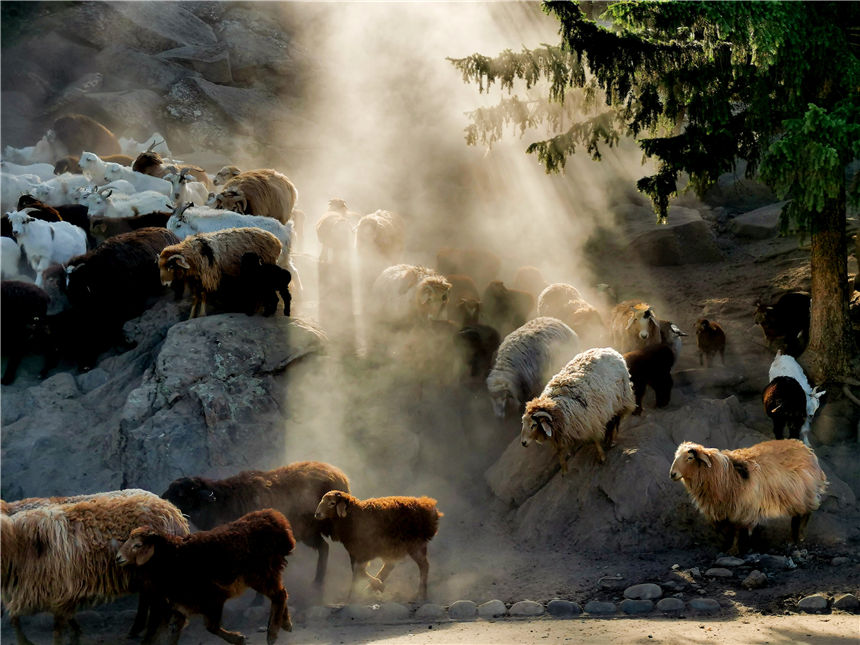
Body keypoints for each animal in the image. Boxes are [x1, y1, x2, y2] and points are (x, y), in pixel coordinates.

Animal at [0, 488, 188, 644]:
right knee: (149, 603)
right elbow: (18, 619)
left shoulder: (55, 589)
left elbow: (55, 626)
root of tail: (172, 511)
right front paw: (76, 632)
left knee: (160, 611)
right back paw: (136, 630)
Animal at [116, 508, 296, 644]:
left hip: (261, 575)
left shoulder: (212, 599)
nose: (118, 558)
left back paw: (272, 634)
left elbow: (212, 627)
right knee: (281, 593)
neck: (174, 557)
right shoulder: (178, 610)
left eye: (138, 545)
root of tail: (275, 520)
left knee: (279, 595)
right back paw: (286, 623)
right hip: (266, 574)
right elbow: (167, 637)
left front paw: (238, 639)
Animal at [161, 460, 350, 592]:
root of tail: (339, 474)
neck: (222, 502)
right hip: (308, 531)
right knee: (324, 547)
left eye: (182, 493)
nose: (162, 499)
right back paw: (319, 583)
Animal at [312, 490, 444, 600]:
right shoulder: (355, 552)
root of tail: (427, 506)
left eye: (332, 503)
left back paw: (421, 594)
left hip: (415, 545)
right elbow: (356, 571)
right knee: (391, 566)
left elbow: (359, 570)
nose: (317, 514)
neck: (354, 516)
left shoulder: (365, 551)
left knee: (424, 566)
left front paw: (372, 588)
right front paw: (353, 595)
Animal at [668, 440, 828, 556]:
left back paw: (799, 538)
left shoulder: (742, 507)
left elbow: (737, 529)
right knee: (796, 516)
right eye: (676, 457)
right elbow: (730, 529)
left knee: (805, 514)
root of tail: (806, 449)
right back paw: (791, 539)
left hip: (805, 493)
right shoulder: (729, 508)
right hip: (795, 497)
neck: (724, 474)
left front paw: (735, 549)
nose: (672, 474)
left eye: (689, 458)